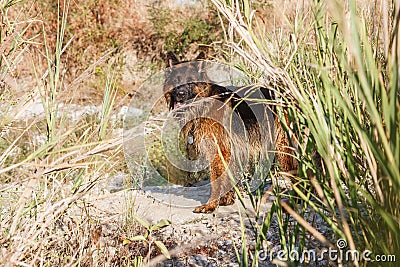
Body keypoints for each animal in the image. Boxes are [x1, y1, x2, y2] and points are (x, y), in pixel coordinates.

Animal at [162, 51, 296, 214]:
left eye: (190, 82)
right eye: (176, 81)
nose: (181, 94)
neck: (203, 103)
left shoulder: (219, 152)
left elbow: (216, 180)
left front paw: (211, 205)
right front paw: (226, 199)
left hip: (283, 147)